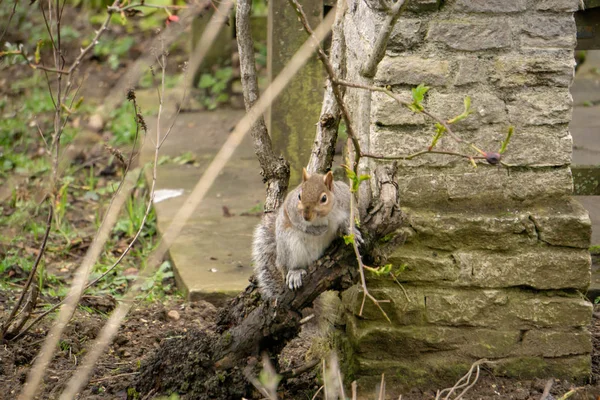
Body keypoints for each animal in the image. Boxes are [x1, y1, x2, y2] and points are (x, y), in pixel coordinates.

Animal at [252, 169, 360, 300]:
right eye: (299, 196)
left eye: (324, 198)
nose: (306, 216)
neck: (324, 216)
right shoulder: (291, 207)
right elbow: (298, 222)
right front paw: (317, 230)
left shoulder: (346, 199)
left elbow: (353, 215)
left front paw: (352, 232)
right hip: (289, 246)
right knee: (290, 265)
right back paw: (295, 272)